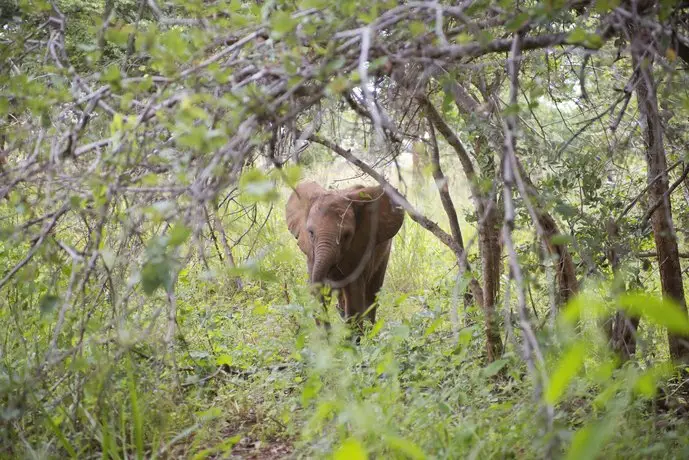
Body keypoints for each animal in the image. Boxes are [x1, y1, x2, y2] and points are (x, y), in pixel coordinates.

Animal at [284, 181, 404, 330]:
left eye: (346, 236)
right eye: (311, 233)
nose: (329, 330)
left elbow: (354, 296)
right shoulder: (311, 255)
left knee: (372, 292)